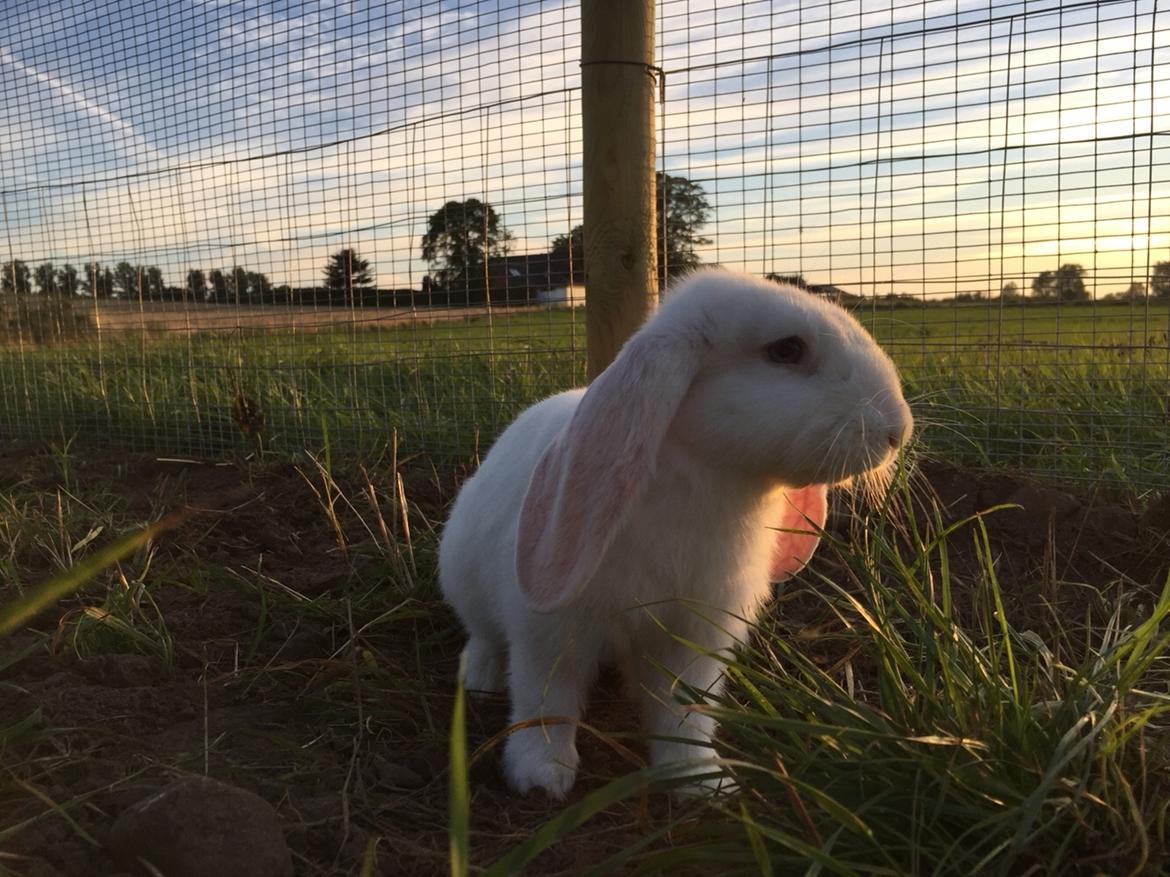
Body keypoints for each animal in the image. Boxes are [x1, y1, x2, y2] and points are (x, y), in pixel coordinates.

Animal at [439, 271, 912, 799]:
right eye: (786, 350)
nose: (898, 430)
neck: (706, 475)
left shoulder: (696, 636)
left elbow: (682, 711)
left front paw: (702, 781)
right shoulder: (549, 634)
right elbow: (547, 704)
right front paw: (541, 777)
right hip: (464, 581)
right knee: (483, 636)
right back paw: (480, 679)